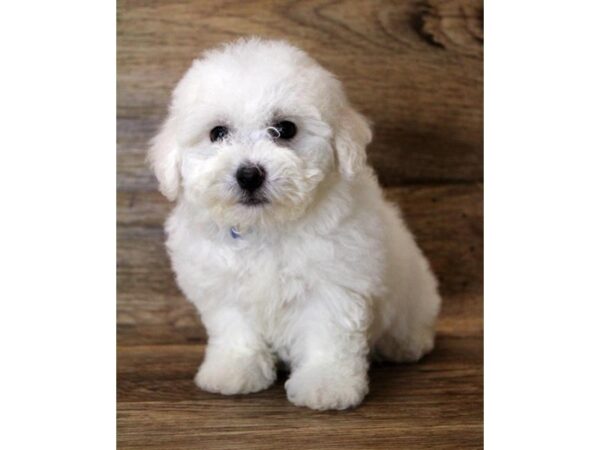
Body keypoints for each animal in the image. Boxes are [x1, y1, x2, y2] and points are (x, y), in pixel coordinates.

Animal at [150, 37, 440, 412]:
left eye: (285, 129)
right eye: (218, 133)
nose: (249, 174)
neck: (267, 226)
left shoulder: (333, 282)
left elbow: (328, 333)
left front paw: (326, 383)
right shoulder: (222, 286)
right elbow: (234, 329)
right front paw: (234, 369)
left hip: (413, 293)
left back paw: (407, 344)